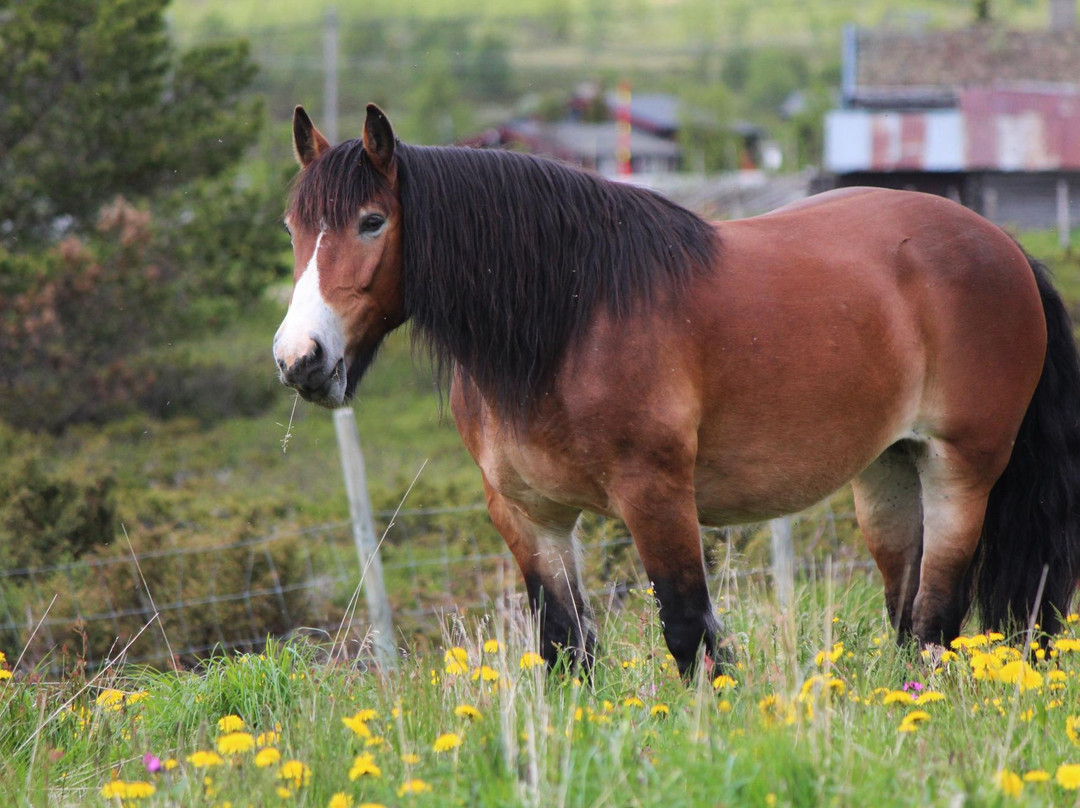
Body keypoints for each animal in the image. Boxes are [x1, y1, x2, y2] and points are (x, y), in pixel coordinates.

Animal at [272, 105, 1080, 674]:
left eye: (372, 221)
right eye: (291, 226)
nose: (299, 359)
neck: (569, 315)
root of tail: (1005, 248)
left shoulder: (655, 496)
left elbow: (690, 631)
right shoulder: (528, 517)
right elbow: (565, 644)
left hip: (961, 468)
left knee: (937, 612)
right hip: (887, 474)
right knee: (908, 612)